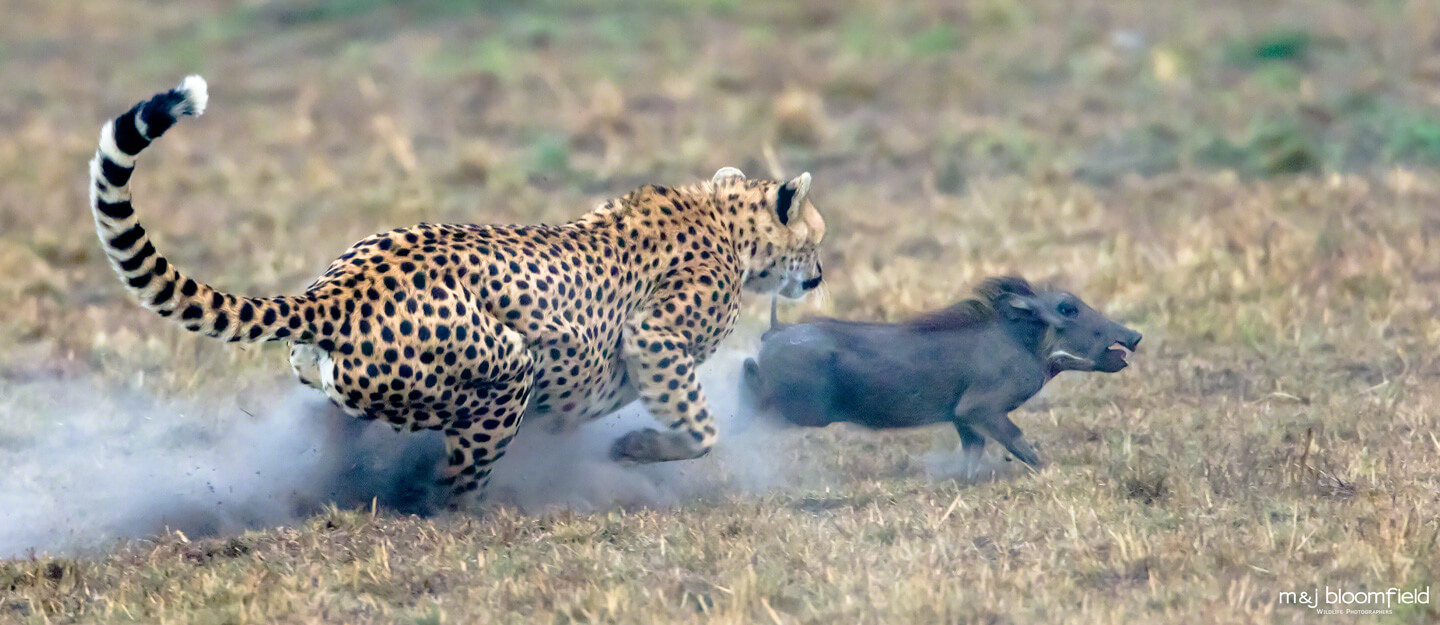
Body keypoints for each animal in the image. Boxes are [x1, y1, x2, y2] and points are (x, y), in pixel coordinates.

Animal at [90, 77, 829, 506]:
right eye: (817, 241)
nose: (819, 276)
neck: (724, 218)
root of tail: (335, 290)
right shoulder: (654, 337)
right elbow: (700, 426)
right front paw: (641, 449)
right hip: (508, 370)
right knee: (453, 483)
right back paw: (472, 506)